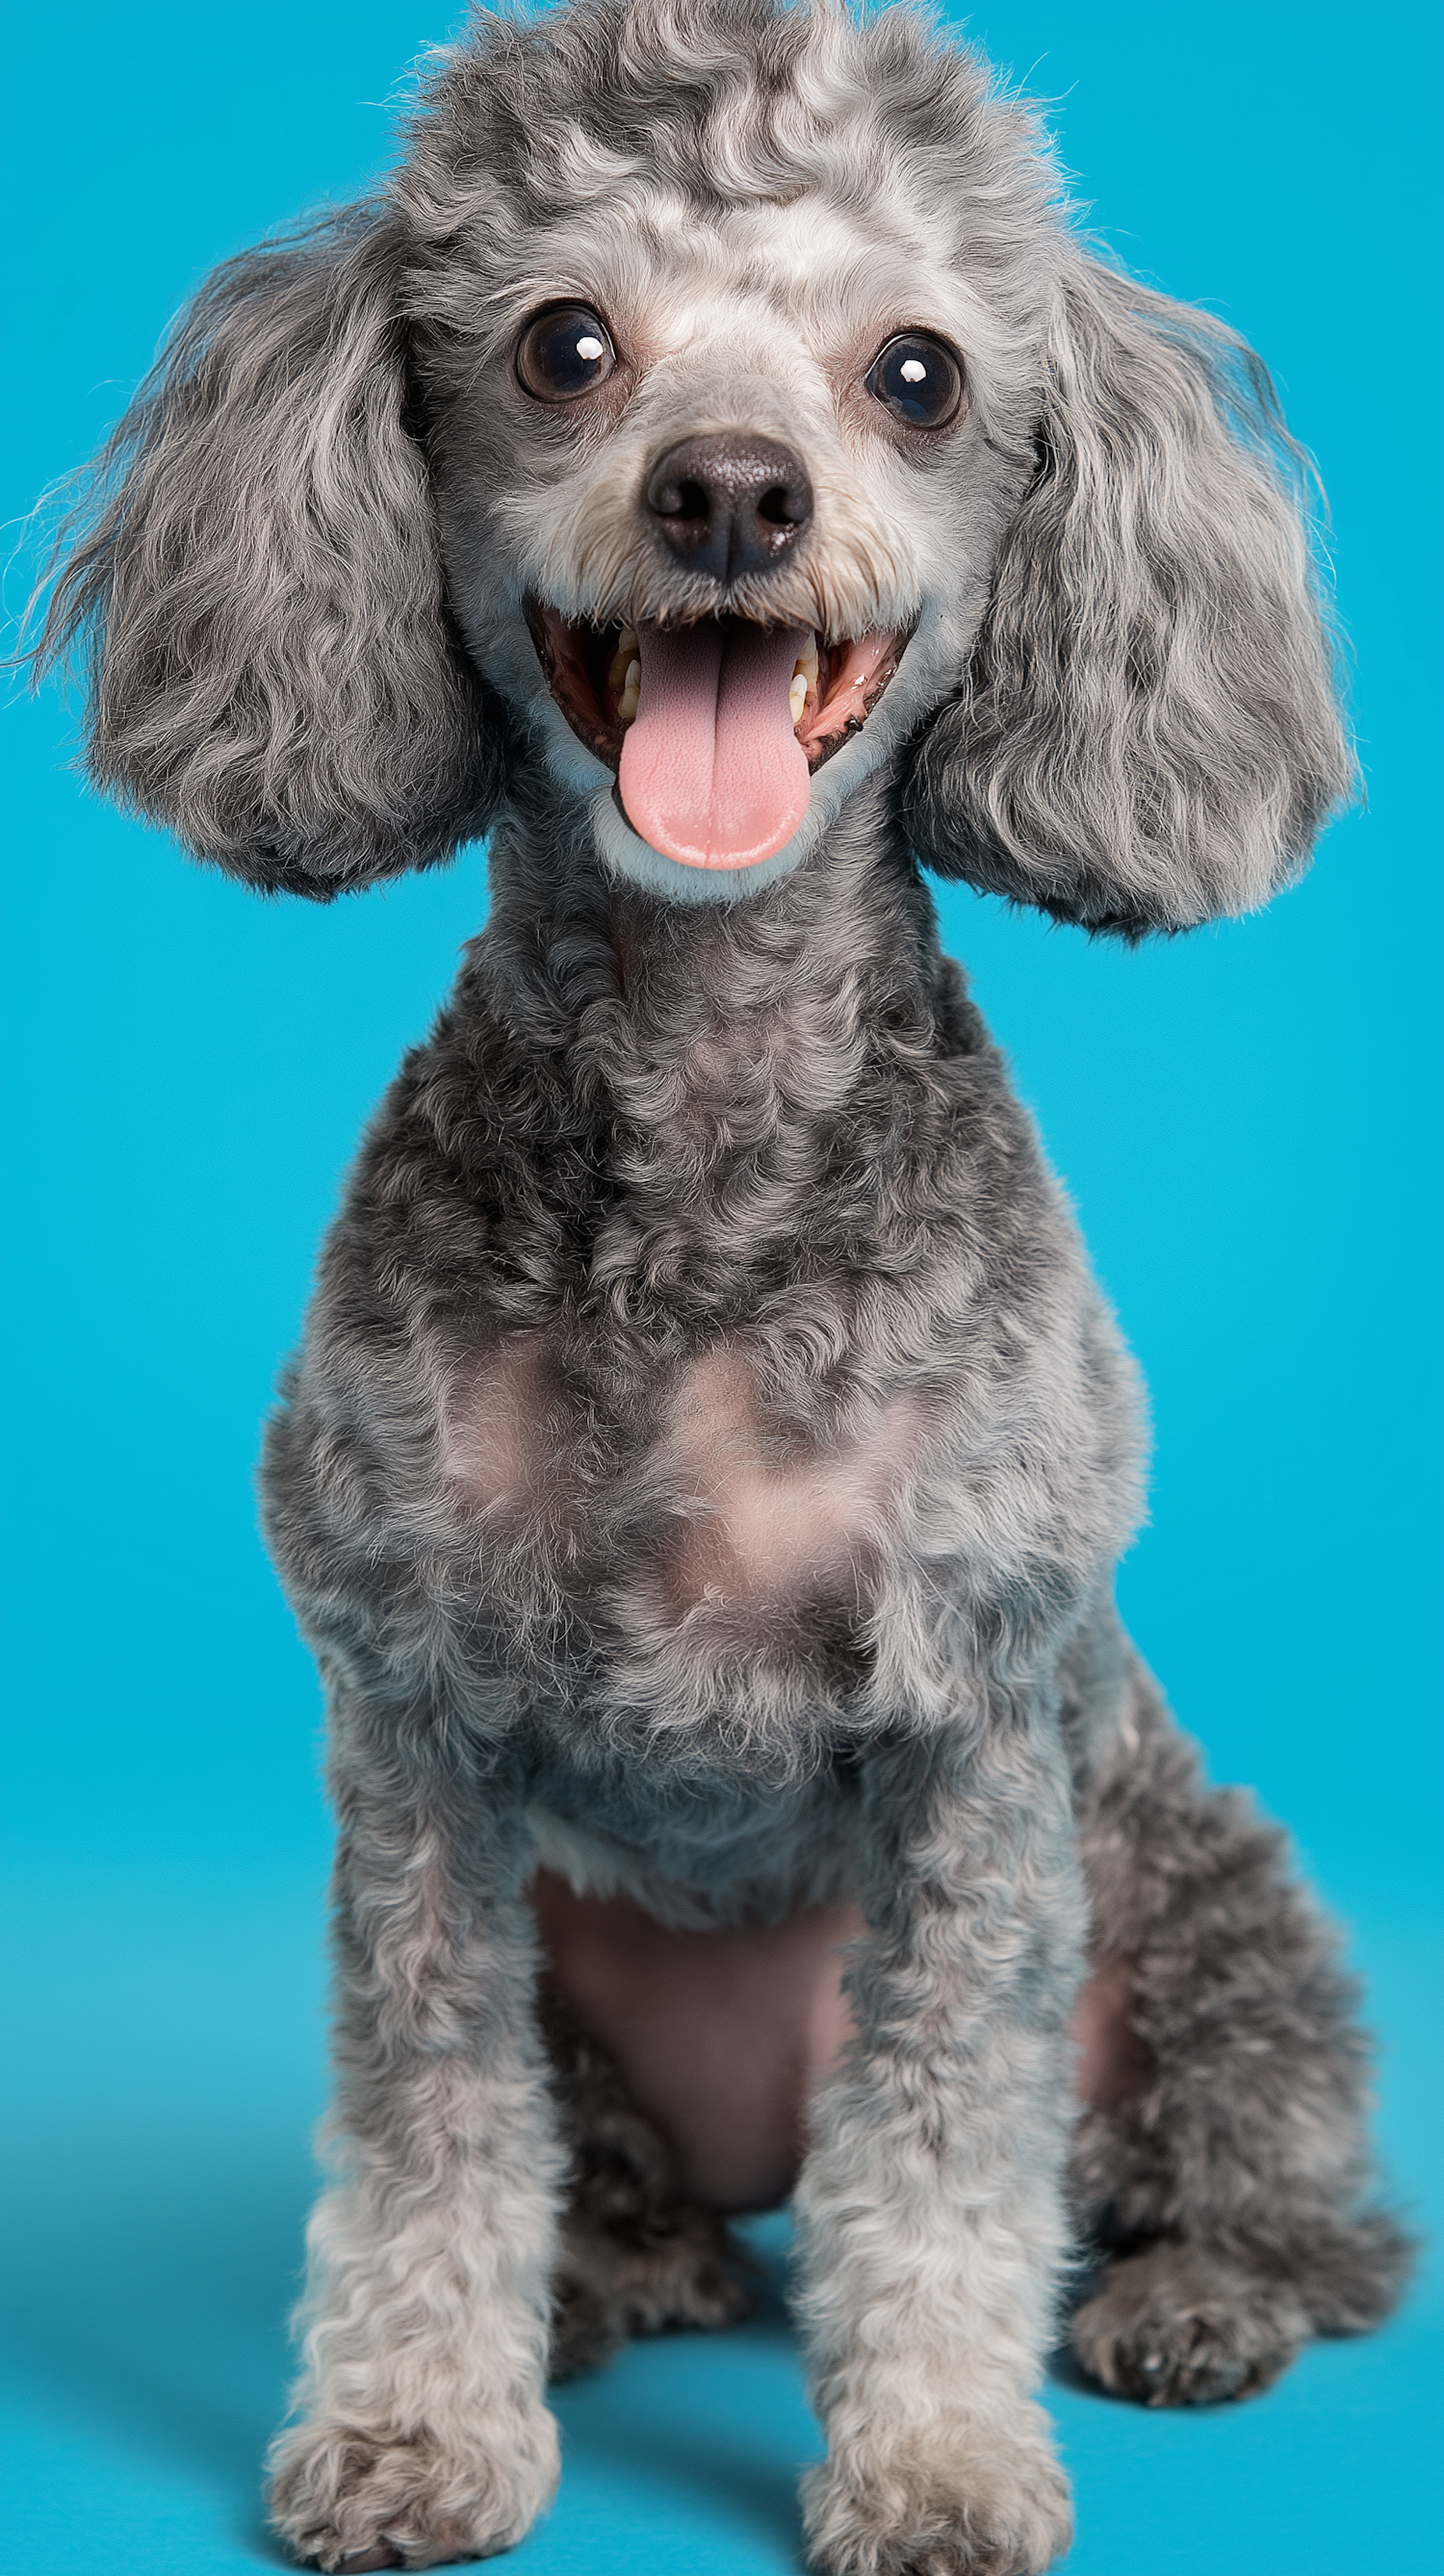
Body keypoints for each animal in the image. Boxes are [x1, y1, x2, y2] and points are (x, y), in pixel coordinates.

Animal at [37, 5, 1410, 2576]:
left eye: (917, 372)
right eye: (566, 346)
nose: (735, 497)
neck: (705, 1117)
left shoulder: (974, 1740)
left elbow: (947, 2163)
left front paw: (942, 2456)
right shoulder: (417, 1746)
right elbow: (428, 2133)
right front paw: (415, 2419)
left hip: (1209, 1911)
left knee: (1281, 2201)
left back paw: (1191, 2298)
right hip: (595, 1966)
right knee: (613, 2162)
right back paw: (630, 2262)